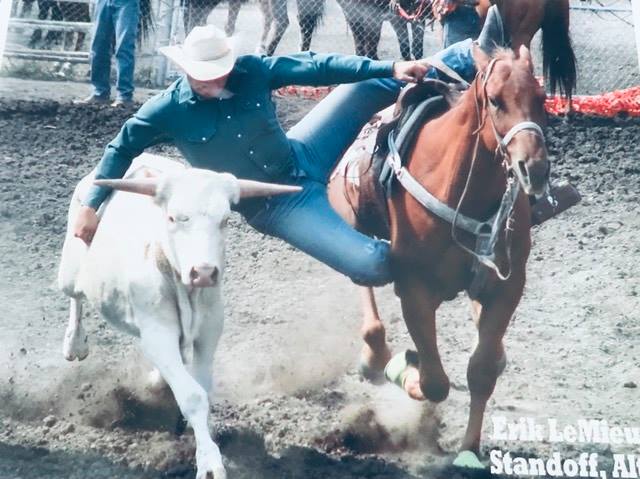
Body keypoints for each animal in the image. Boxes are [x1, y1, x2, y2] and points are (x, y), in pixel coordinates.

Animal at [330, 46, 552, 468]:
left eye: (542, 98)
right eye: (495, 100)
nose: (534, 168)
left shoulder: (508, 286)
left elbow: (480, 371)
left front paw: (469, 450)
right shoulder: (414, 289)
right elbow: (434, 382)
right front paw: (406, 369)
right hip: (356, 229)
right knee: (363, 282)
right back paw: (375, 354)